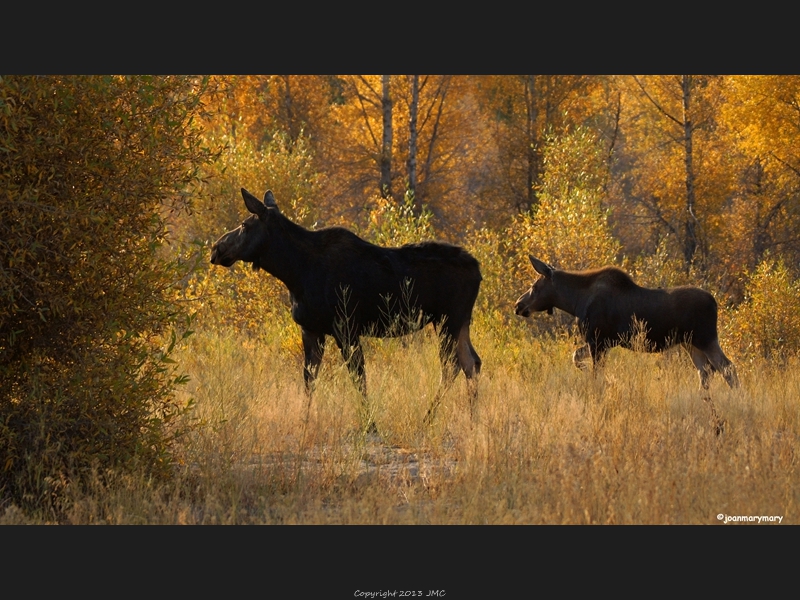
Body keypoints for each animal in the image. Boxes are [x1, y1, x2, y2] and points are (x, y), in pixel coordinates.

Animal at [209, 188, 482, 426]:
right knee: (472, 362)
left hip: (448, 320)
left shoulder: (346, 327)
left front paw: (370, 424)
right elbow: (309, 379)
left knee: (452, 365)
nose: (216, 248)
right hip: (459, 323)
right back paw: (471, 420)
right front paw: (304, 421)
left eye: (244, 225)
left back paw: (428, 419)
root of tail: (478, 270)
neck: (294, 272)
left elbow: (358, 378)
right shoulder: (311, 330)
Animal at [516, 255, 740, 396]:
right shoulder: (602, 342)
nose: (518, 305)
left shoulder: (597, 341)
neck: (575, 302)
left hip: (705, 338)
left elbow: (594, 372)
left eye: (534, 286)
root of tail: (715, 302)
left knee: (726, 367)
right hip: (690, 343)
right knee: (706, 371)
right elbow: (576, 357)